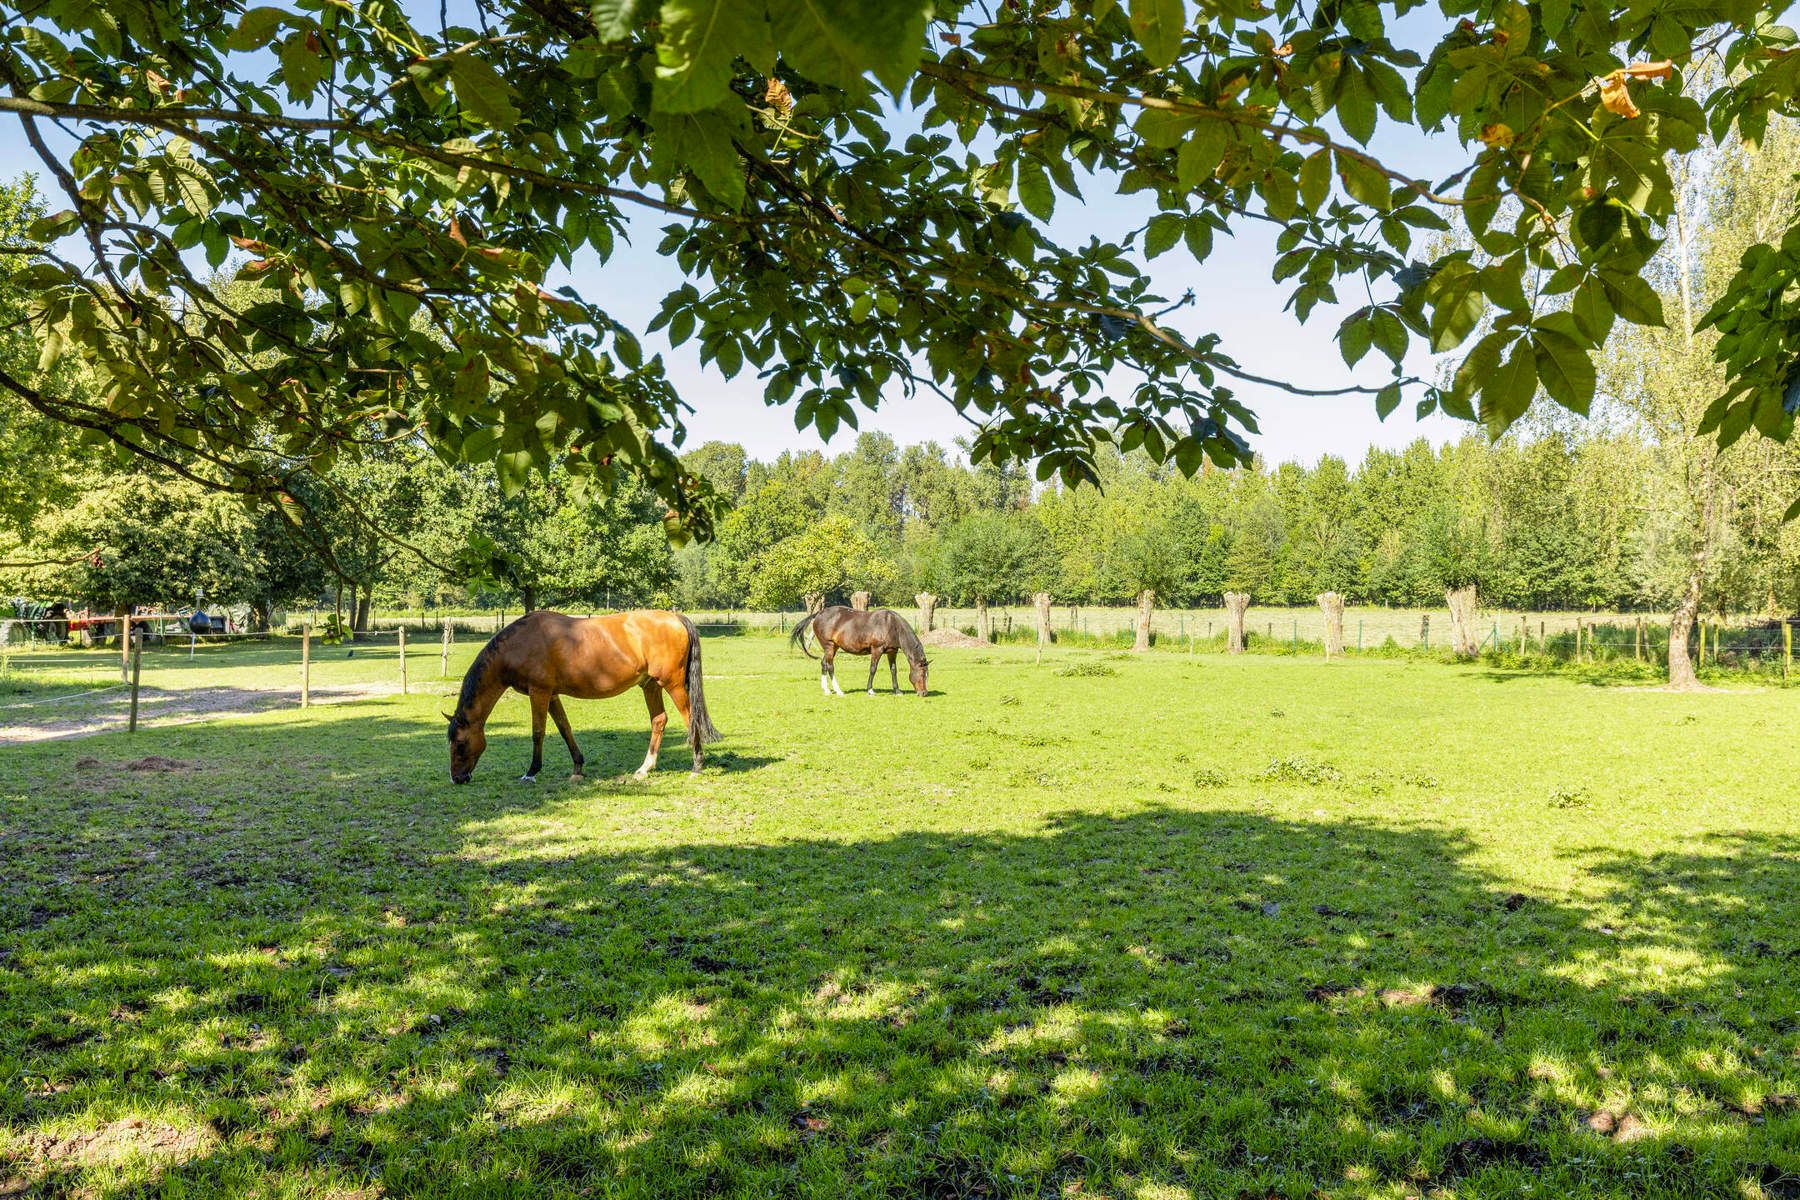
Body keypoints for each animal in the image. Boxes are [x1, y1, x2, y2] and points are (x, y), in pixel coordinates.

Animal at [446, 611, 720, 788]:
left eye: (460, 744)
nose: (457, 779)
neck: (519, 644)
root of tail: (676, 618)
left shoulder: (539, 692)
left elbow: (538, 732)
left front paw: (531, 772)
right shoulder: (552, 695)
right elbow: (565, 729)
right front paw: (577, 768)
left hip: (672, 684)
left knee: (691, 719)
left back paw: (697, 766)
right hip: (650, 685)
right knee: (659, 720)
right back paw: (645, 768)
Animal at [788, 604, 928, 698]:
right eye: (922, 674)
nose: (924, 693)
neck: (892, 625)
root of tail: (819, 614)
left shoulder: (892, 652)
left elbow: (893, 670)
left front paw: (897, 691)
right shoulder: (877, 650)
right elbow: (873, 669)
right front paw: (870, 690)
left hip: (833, 647)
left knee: (824, 664)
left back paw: (827, 690)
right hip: (829, 646)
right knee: (830, 667)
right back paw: (839, 691)